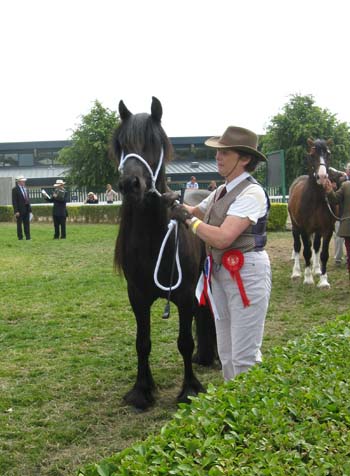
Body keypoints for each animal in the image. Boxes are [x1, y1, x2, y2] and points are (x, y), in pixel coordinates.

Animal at [111, 96, 216, 410]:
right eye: (121, 144)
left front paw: (190, 389)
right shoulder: (137, 296)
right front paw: (142, 391)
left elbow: (184, 342)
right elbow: (142, 342)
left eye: (154, 142)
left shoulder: (184, 295)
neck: (153, 240)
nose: (130, 184)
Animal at [288, 136, 336, 288]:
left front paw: (323, 280)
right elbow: (306, 252)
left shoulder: (327, 230)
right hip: (295, 227)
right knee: (298, 247)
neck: (315, 199)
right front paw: (308, 279)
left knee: (315, 247)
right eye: (312, 155)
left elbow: (323, 253)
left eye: (328, 154)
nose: (322, 177)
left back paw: (316, 269)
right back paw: (296, 272)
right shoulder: (304, 229)